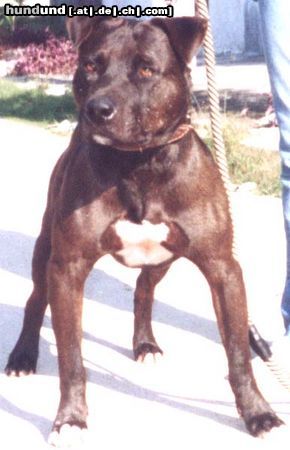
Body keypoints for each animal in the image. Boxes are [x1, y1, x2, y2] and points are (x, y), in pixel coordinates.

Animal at [5, 14, 282, 446]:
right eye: (91, 65)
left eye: (147, 70)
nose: (97, 109)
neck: (140, 164)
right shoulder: (67, 268)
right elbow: (71, 358)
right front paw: (70, 419)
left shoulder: (222, 268)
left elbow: (239, 353)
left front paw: (258, 414)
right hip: (44, 250)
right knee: (36, 299)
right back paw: (22, 355)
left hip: (162, 257)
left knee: (144, 289)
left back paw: (146, 343)